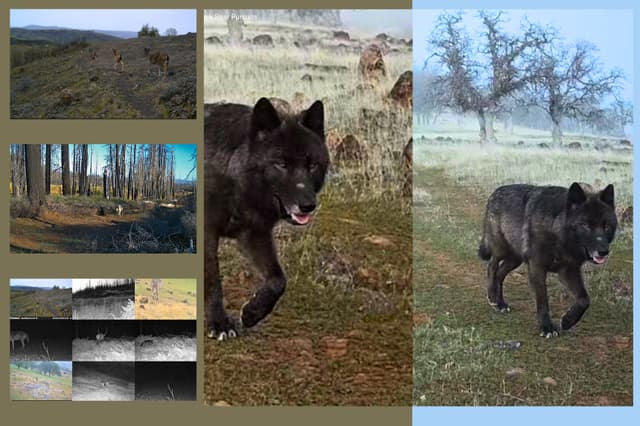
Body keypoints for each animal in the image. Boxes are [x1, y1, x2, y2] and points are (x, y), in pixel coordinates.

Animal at [204, 97, 329, 340]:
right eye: (281, 164)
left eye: (312, 165)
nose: (308, 206)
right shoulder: (206, 233)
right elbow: (213, 282)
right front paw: (219, 324)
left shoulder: (255, 234)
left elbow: (278, 280)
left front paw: (252, 313)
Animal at [478, 182, 616, 337]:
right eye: (586, 225)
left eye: (606, 226)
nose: (604, 251)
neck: (557, 233)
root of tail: (495, 192)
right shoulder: (537, 268)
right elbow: (543, 300)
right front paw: (547, 327)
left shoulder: (569, 271)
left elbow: (584, 299)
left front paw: (567, 321)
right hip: (501, 250)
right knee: (492, 265)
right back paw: (492, 297)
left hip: (515, 259)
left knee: (500, 274)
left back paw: (501, 304)